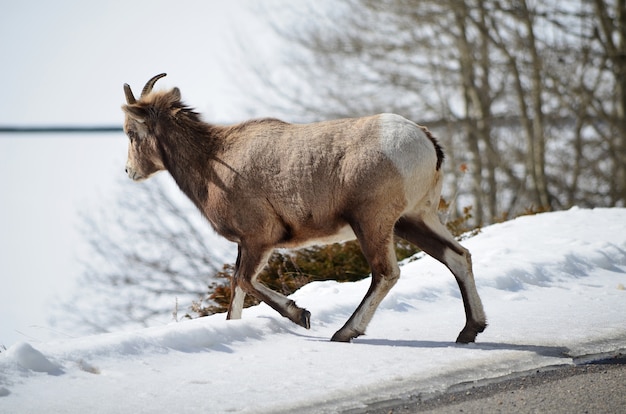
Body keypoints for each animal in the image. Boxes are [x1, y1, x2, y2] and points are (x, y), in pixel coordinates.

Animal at [119, 73, 486, 342]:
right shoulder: (246, 244)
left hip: (374, 223)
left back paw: (344, 333)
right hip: (414, 219)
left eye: (131, 133)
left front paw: (302, 316)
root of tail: (426, 142)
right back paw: (470, 331)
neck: (213, 162)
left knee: (386, 273)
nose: (129, 171)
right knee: (458, 256)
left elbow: (245, 282)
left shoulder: (259, 239)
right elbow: (236, 291)